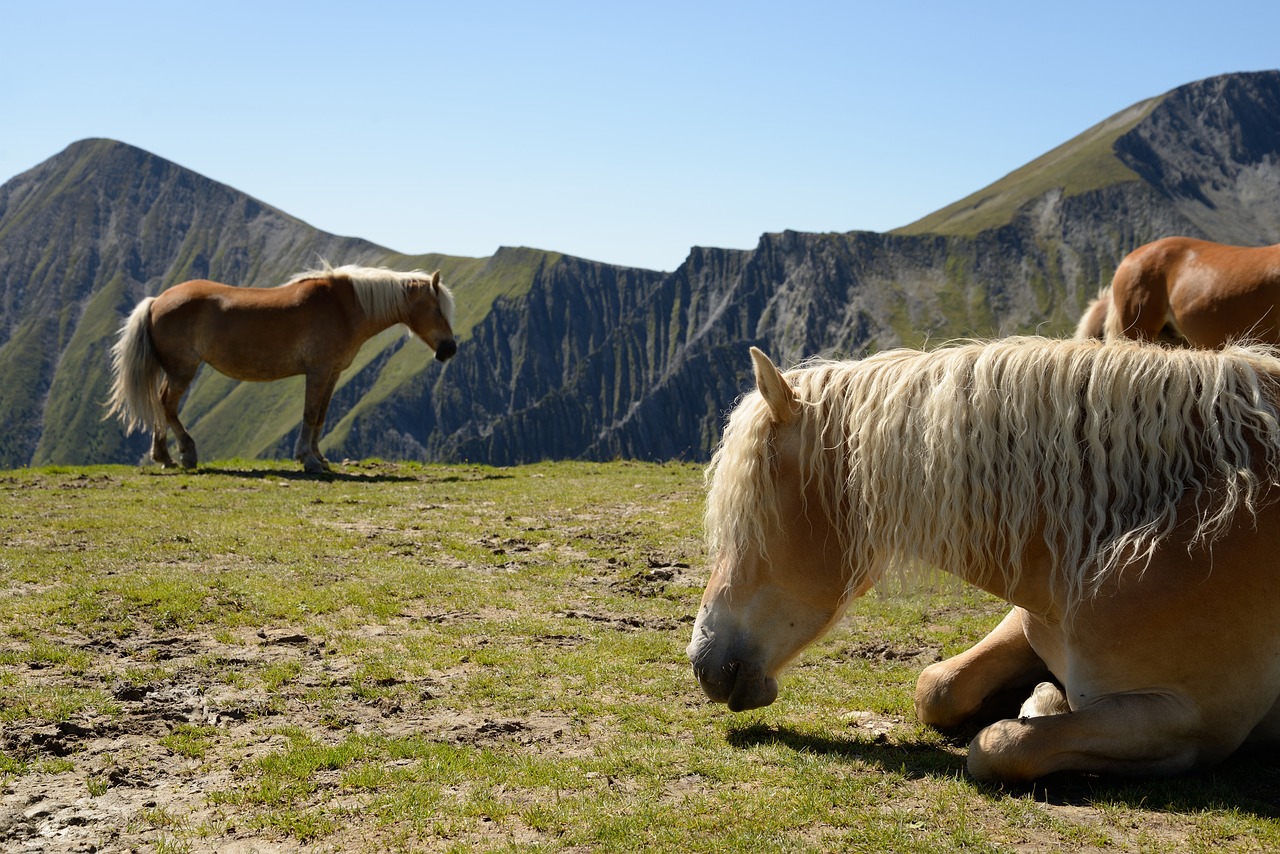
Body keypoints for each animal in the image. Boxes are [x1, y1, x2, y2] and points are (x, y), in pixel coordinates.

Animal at [104, 262, 455, 473]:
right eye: (437, 308)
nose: (449, 349)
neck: (343, 308)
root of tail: (157, 300)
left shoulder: (332, 373)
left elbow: (320, 416)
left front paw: (320, 457)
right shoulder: (318, 371)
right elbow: (310, 414)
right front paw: (308, 460)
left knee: (161, 405)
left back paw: (164, 457)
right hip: (182, 369)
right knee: (166, 404)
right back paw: (185, 454)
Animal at [691, 332, 1280, 783]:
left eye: (753, 513)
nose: (703, 662)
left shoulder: (1192, 723)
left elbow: (999, 746)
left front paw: (1040, 703)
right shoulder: (1029, 618)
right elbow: (936, 687)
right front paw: (1040, 694)